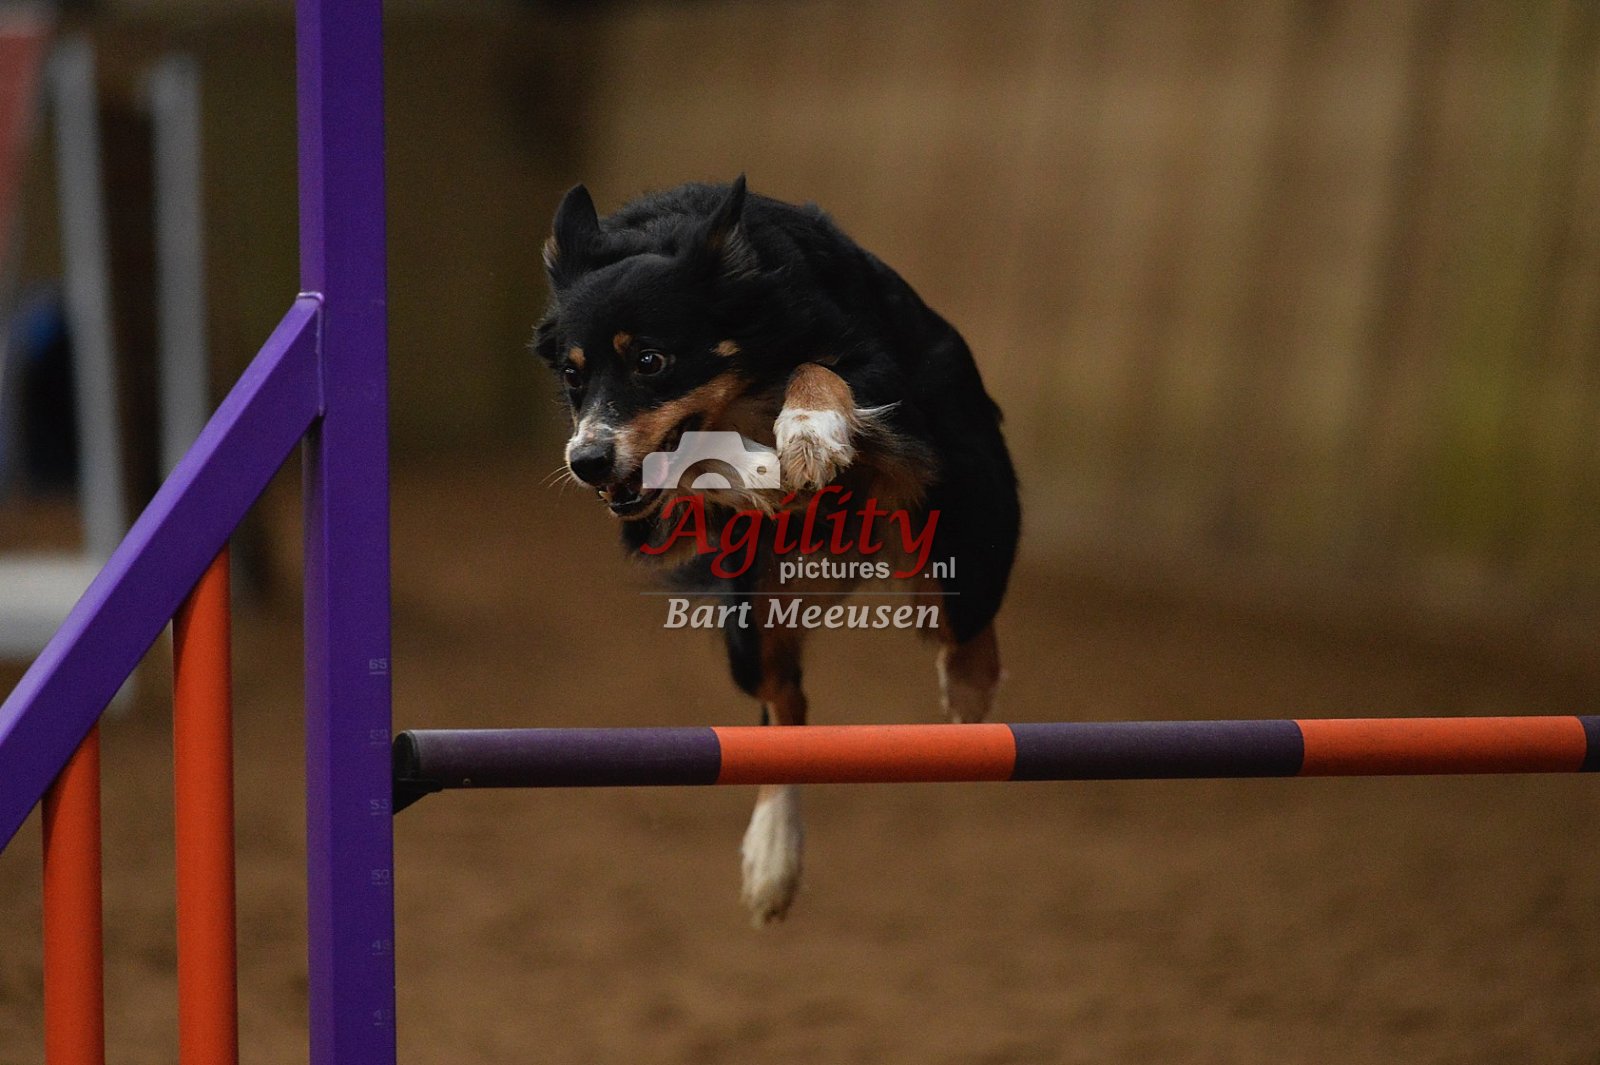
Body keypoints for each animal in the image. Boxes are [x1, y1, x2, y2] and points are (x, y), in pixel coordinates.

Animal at [534, 177, 1020, 924]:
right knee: (784, 706)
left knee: (962, 623)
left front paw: (811, 429)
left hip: (969, 526)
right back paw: (773, 857)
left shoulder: (886, 391)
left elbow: (817, 369)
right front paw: (768, 468)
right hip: (752, 612)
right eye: (571, 374)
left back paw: (968, 693)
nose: (585, 463)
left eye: (650, 360)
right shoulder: (651, 507)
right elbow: (703, 467)